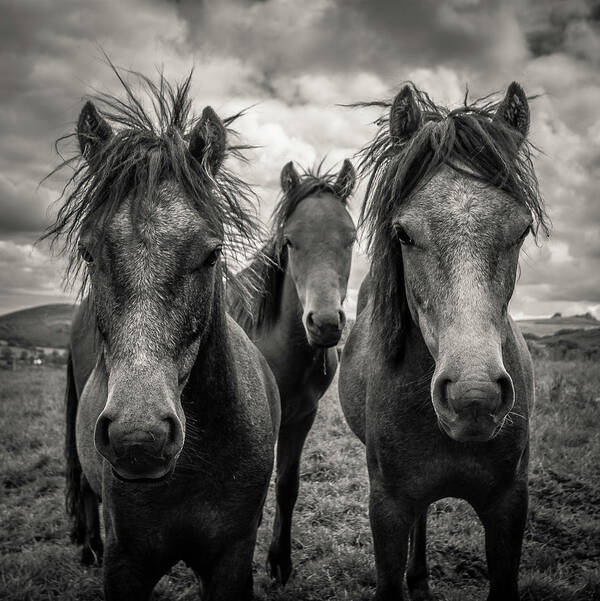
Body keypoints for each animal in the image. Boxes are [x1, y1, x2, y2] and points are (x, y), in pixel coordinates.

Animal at [227, 159, 354, 580]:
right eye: (290, 241)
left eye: (350, 238)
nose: (326, 323)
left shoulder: (302, 416)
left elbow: (286, 485)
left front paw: (279, 561)